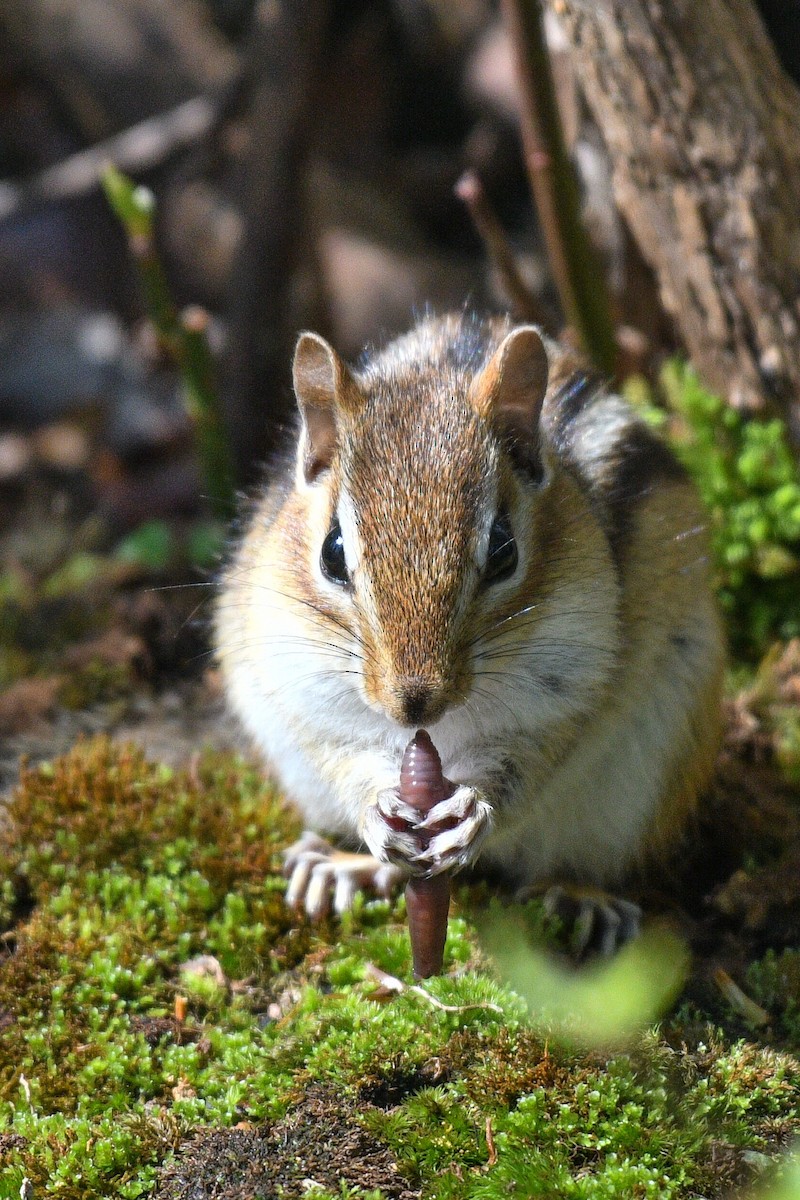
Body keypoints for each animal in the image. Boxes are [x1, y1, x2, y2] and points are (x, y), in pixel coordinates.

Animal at [215, 313, 724, 950]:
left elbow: (522, 766)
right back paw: (344, 867)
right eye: (332, 552)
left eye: (504, 550)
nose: (413, 703)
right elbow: (343, 756)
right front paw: (374, 817)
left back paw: (580, 898)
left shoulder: (566, 695)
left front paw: (474, 810)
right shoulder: (305, 694)